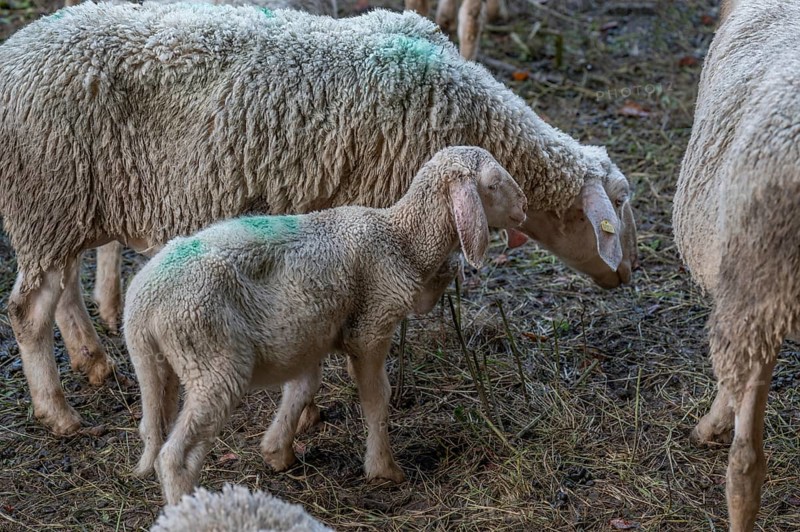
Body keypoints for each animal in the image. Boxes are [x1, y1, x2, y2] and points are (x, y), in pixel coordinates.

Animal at [0, 3, 636, 436]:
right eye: (618, 211)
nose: (626, 276)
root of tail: (16, 52)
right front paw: (310, 410)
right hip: (47, 192)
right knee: (28, 311)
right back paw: (58, 413)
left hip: (67, 207)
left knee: (61, 290)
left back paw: (92, 360)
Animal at [124, 146, 527, 503]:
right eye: (493, 184)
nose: (523, 207)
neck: (403, 240)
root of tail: (142, 304)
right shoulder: (371, 328)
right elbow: (376, 397)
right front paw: (384, 468)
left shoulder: (307, 336)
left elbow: (302, 388)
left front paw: (277, 451)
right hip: (213, 360)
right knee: (175, 457)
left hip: (160, 365)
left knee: (153, 427)